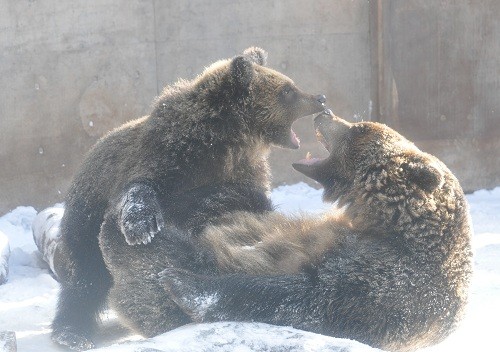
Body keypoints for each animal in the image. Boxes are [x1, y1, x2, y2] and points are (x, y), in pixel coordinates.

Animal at [48, 48, 326, 350]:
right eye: (287, 90)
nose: (320, 98)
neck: (228, 142)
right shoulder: (169, 156)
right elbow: (139, 187)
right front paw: (142, 227)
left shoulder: (243, 172)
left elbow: (243, 203)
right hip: (85, 216)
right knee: (84, 277)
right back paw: (72, 331)